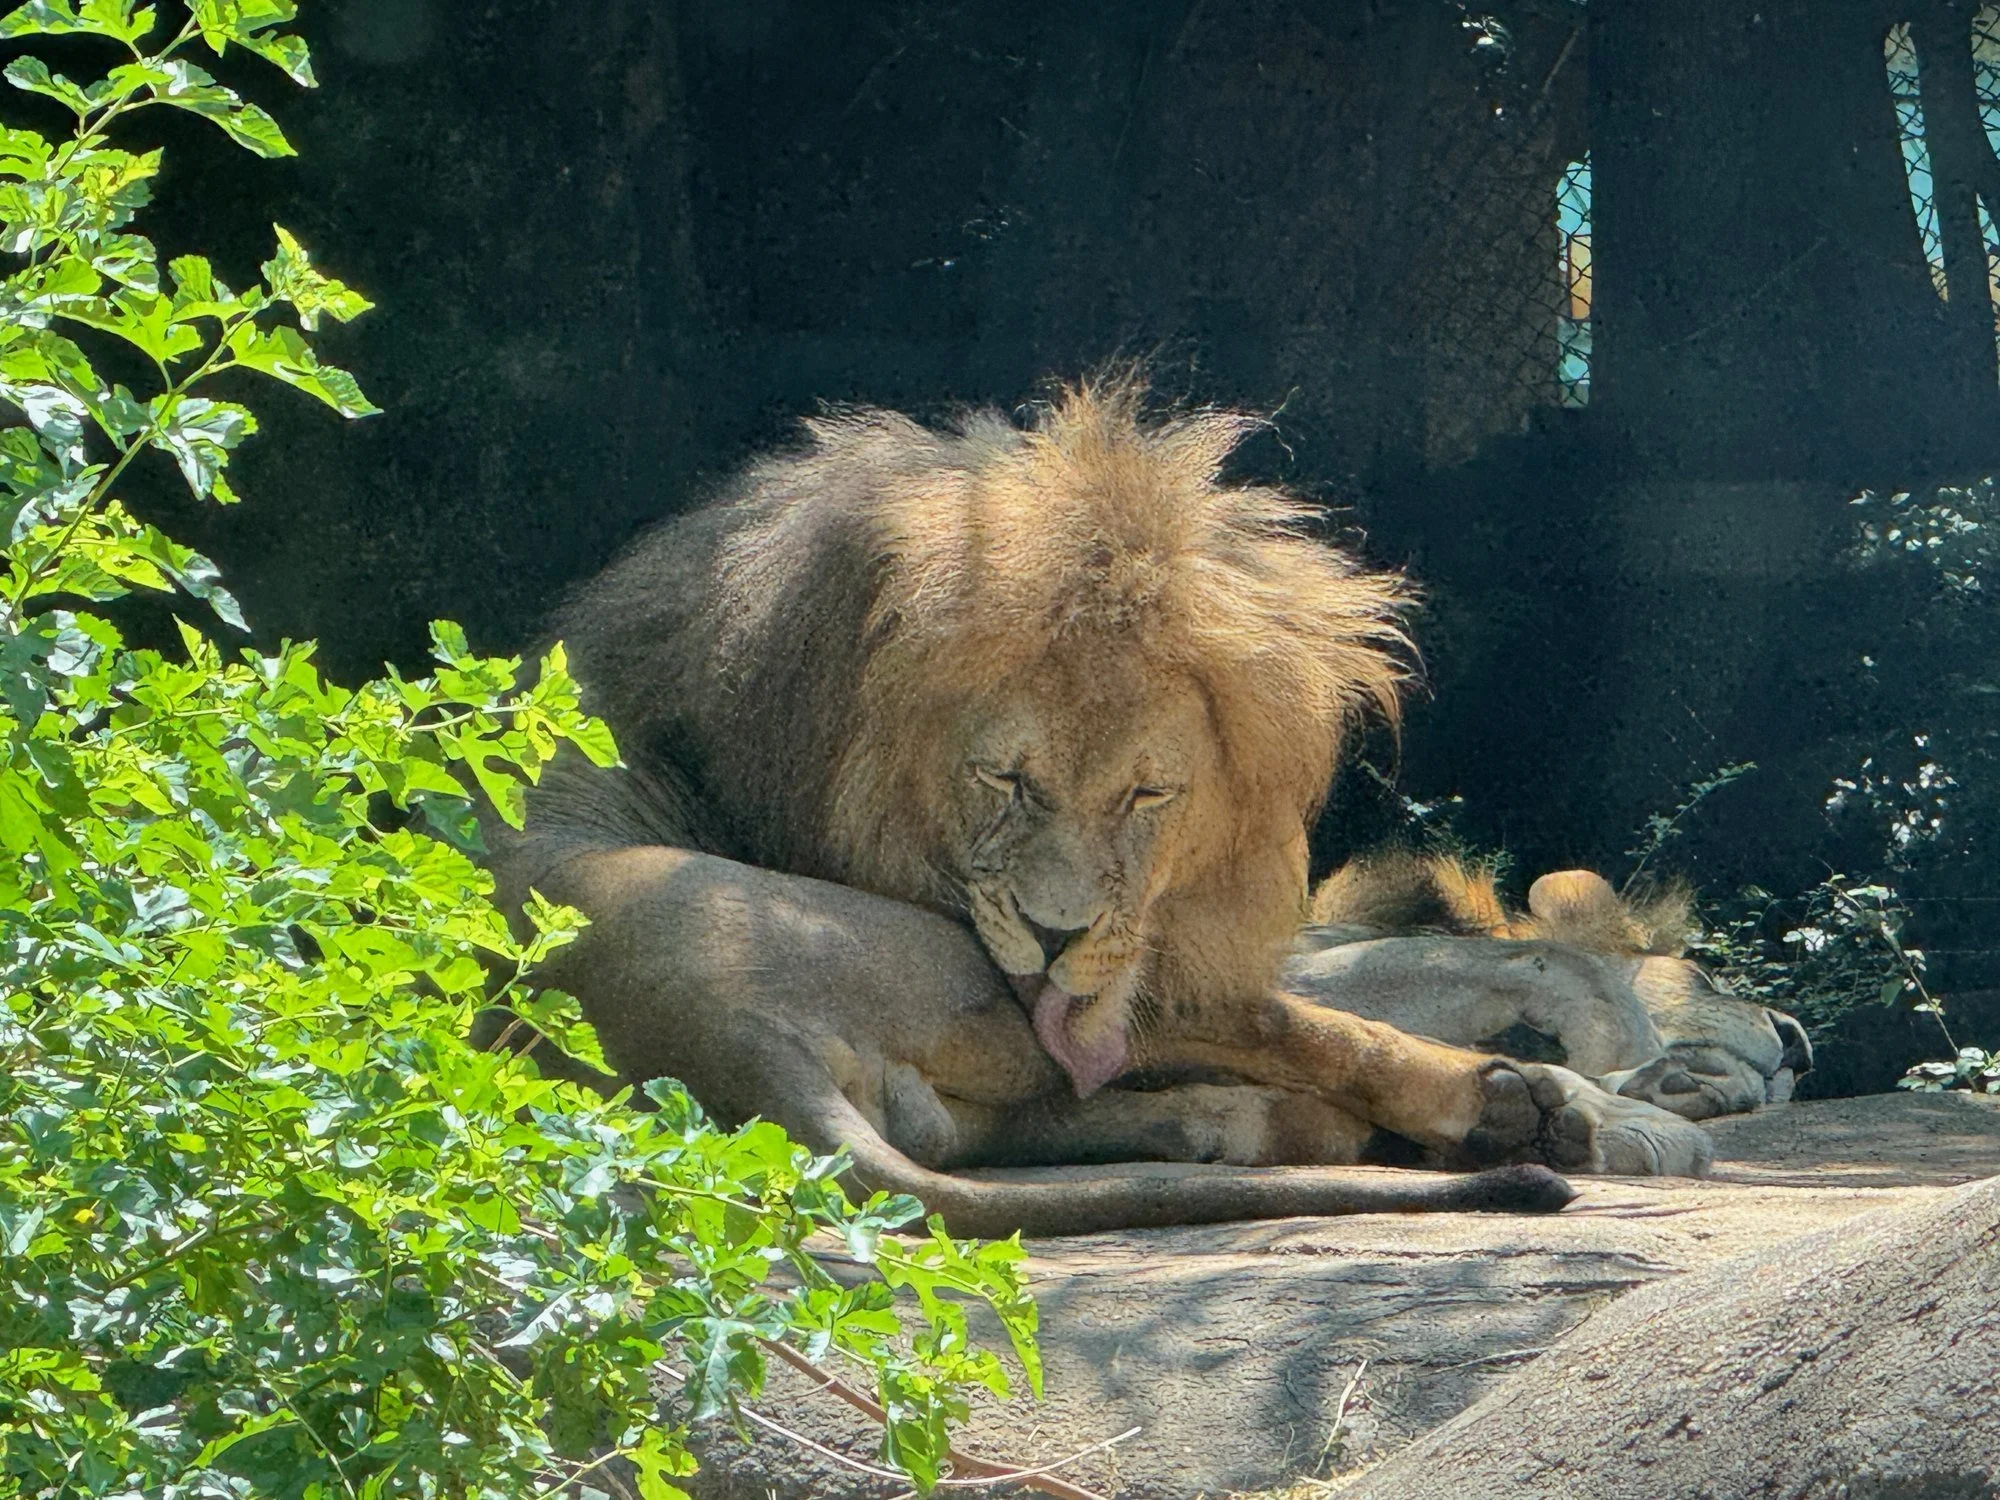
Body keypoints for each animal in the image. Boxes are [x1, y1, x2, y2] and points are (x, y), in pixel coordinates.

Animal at [480, 377, 1710, 1238]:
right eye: (1004, 780)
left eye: (1147, 793)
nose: (1058, 932)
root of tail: (729, 1042)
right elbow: (1308, 1009)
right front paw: (1582, 1102)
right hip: (943, 965)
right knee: (1241, 1036)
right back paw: (1469, 1110)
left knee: (1044, 1113)